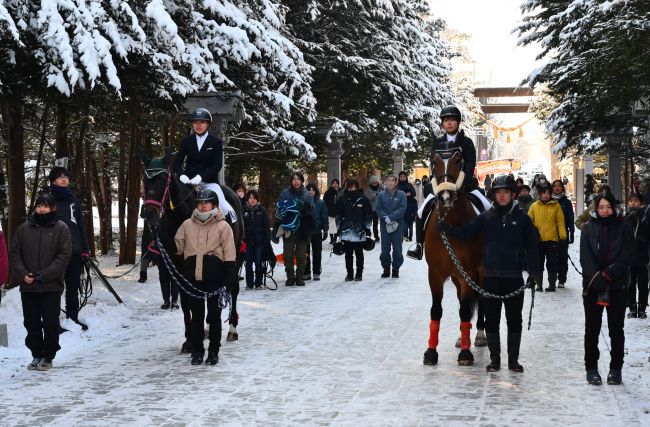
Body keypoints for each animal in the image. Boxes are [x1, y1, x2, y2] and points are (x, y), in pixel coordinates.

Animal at [141, 154, 243, 352]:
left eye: (163, 180)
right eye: (145, 180)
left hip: (235, 256)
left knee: (233, 289)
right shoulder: (179, 269)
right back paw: (208, 327)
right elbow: (186, 303)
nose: (149, 214)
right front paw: (189, 339)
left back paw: (232, 329)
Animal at [422, 149, 484, 366]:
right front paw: (431, 352)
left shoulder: (469, 273)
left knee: (481, 301)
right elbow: (436, 310)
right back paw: (461, 337)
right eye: (435, 162)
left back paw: (479, 336)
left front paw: (466, 354)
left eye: (458, 161)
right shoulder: (435, 274)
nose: (446, 196)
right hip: (457, 278)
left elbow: (465, 310)